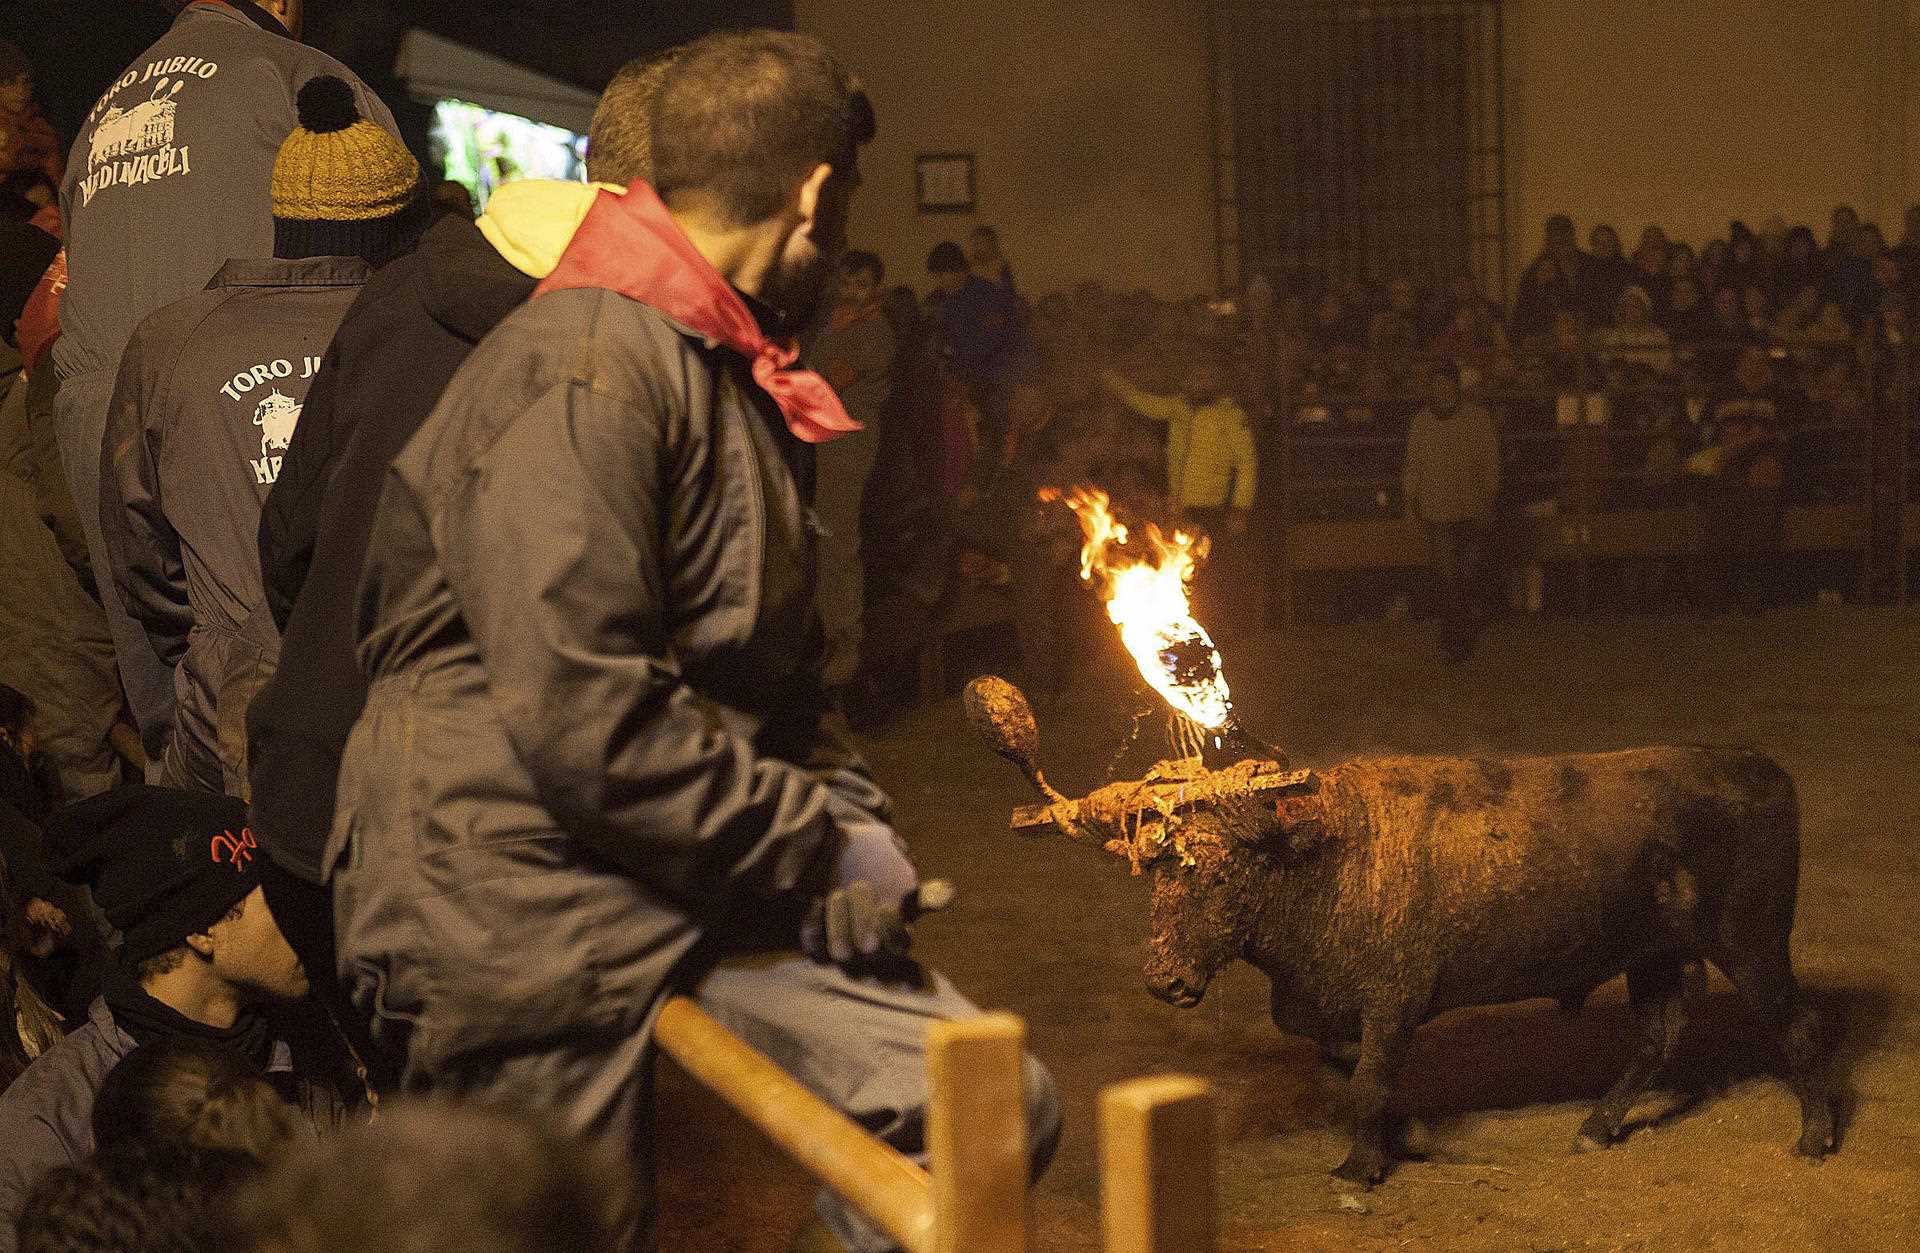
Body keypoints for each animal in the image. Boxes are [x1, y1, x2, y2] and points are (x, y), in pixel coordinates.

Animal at [967, 679, 1835, 1189]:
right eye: (1155, 877)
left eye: (1217, 875)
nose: (1165, 978)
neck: (1325, 852)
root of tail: (1764, 769)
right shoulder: (1342, 1012)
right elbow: (1362, 1077)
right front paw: (1403, 1133)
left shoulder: (1392, 1000)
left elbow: (1366, 1083)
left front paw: (1358, 1166)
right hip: (1653, 955)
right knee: (1659, 1036)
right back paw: (1595, 1128)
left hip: (1753, 942)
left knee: (1796, 1025)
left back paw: (1815, 1137)